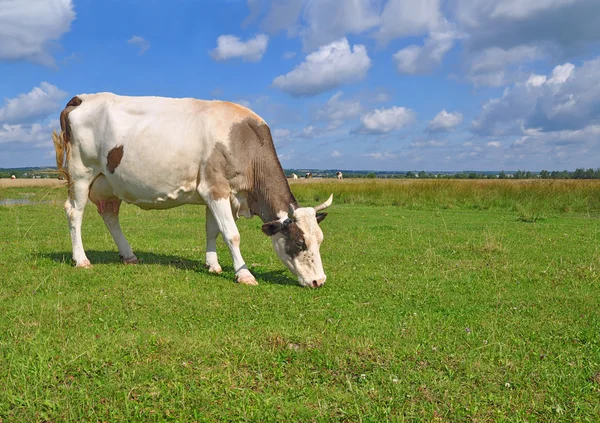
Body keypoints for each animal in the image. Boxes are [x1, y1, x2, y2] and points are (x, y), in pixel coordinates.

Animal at [51, 93, 332, 288]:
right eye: (300, 242)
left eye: (320, 240)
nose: (319, 281)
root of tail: (82, 98)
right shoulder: (215, 188)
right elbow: (232, 234)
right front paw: (244, 274)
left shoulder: (218, 194)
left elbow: (213, 231)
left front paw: (213, 265)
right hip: (81, 173)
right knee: (74, 213)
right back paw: (81, 259)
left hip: (109, 184)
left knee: (110, 216)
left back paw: (129, 255)